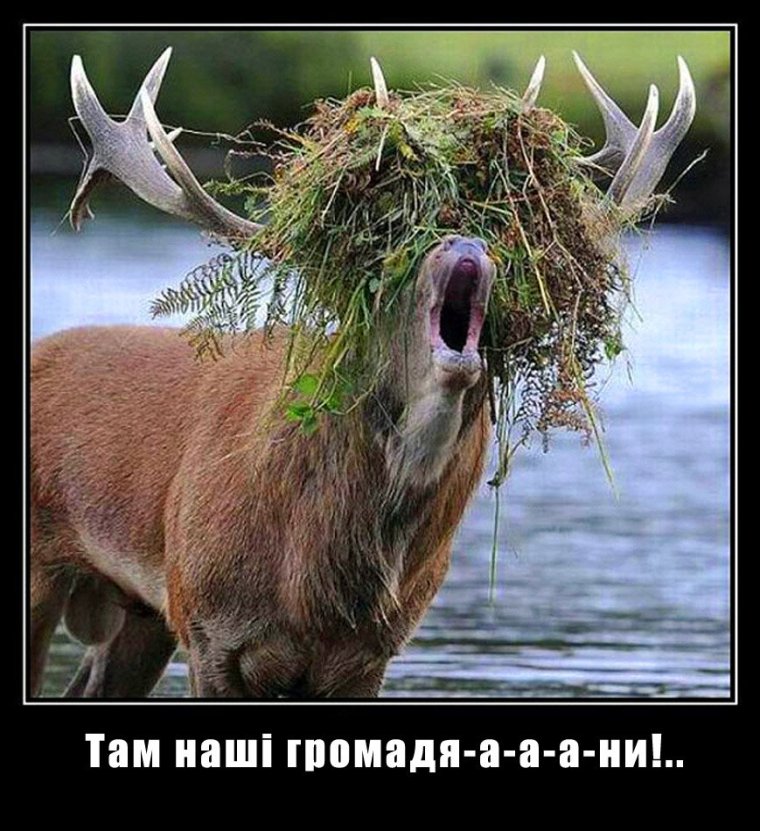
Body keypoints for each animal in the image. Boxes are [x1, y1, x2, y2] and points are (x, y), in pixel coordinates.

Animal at [30, 48, 695, 698]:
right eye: (392, 245)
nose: (466, 240)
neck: (315, 580)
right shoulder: (207, 626)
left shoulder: (367, 655)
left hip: (137, 614)